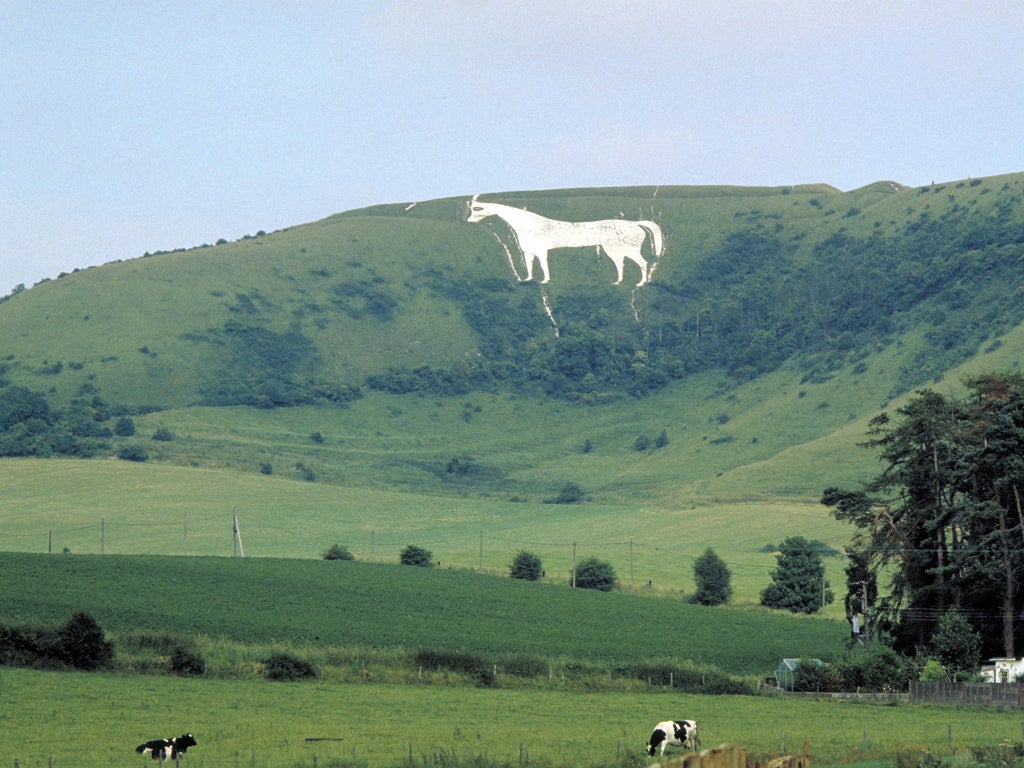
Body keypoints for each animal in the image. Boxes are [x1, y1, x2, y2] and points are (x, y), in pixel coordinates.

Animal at [466, 196, 663, 286]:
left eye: (477, 209)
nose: (467, 220)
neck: (524, 224)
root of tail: (636, 223)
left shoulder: (541, 250)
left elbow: (543, 265)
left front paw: (545, 280)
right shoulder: (528, 251)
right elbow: (529, 266)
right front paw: (528, 279)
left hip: (628, 249)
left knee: (642, 262)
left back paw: (641, 283)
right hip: (613, 249)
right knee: (620, 264)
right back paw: (618, 282)